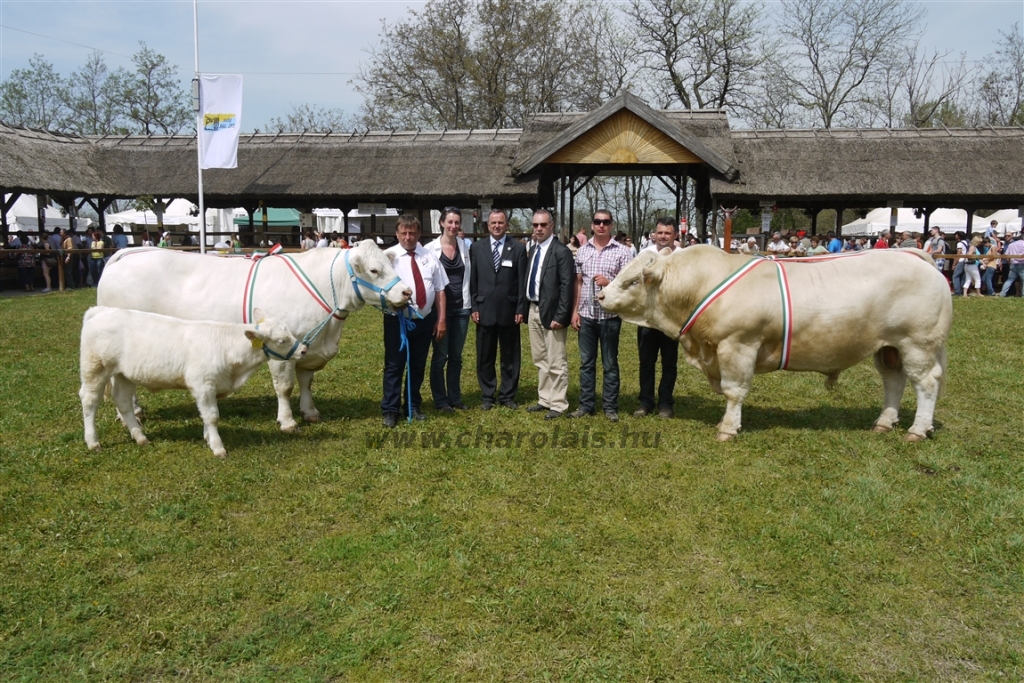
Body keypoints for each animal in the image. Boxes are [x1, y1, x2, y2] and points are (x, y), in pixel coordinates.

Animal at [80, 307, 307, 456]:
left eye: (290, 332)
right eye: (281, 340)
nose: (304, 349)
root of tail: (100, 311)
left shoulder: (211, 387)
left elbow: (206, 415)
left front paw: (207, 437)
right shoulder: (203, 384)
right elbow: (212, 416)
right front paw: (218, 447)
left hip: (123, 374)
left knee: (124, 402)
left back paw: (140, 437)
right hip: (95, 369)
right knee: (89, 401)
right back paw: (93, 442)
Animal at [97, 242, 409, 430]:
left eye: (390, 265)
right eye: (374, 270)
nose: (407, 292)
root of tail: (126, 254)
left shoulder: (308, 347)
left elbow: (306, 383)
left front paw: (310, 411)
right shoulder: (281, 350)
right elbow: (285, 387)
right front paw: (287, 421)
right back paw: (128, 415)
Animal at [598, 246, 950, 444]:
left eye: (632, 281)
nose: (600, 295)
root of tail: (915, 256)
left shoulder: (738, 345)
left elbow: (733, 391)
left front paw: (728, 429)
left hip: (917, 344)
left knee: (926, 384)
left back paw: (917, 430)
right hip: (888, 347)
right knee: (894, 381)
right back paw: (884, 423)